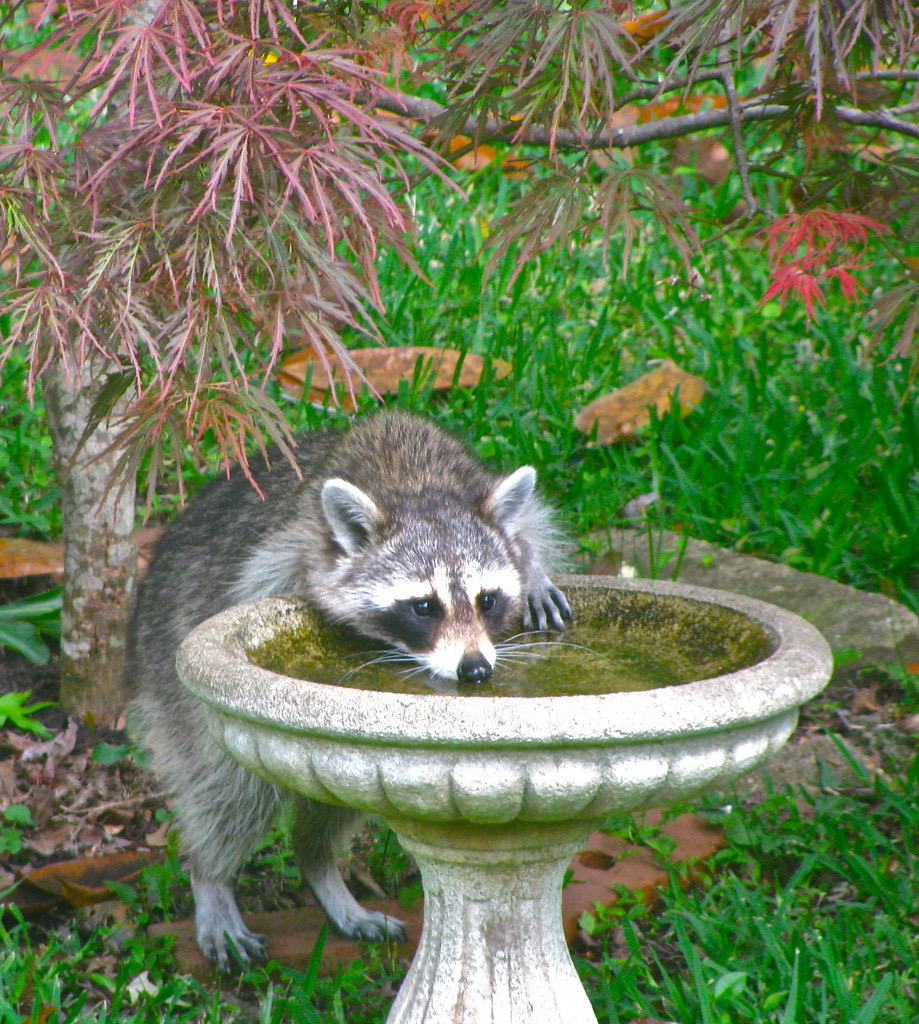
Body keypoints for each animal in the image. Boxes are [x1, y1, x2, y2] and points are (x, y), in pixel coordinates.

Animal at [125, 407, 569, 966]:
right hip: (172, 668)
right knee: (227, 786)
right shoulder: (289, 544)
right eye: (424, 607)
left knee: (322, 813)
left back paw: (317, 864)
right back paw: (212, 875)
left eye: (486, 599)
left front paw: (532, 568)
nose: (474, 670)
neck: (416, 482)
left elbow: (529, 531)